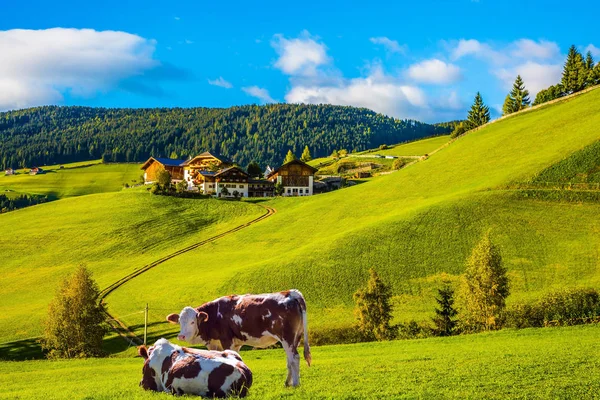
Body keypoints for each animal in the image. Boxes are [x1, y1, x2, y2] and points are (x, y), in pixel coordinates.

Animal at [166, 288, 312, 388]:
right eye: (179, 321)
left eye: (192, 322)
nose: (181, 336)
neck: (215, 315)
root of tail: (290, 293)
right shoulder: (224, 343)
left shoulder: (227, 340)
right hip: (295, 337)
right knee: (289, 360)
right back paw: (287, 382)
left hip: (287, 337)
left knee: (294, 358)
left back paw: (295, 384)